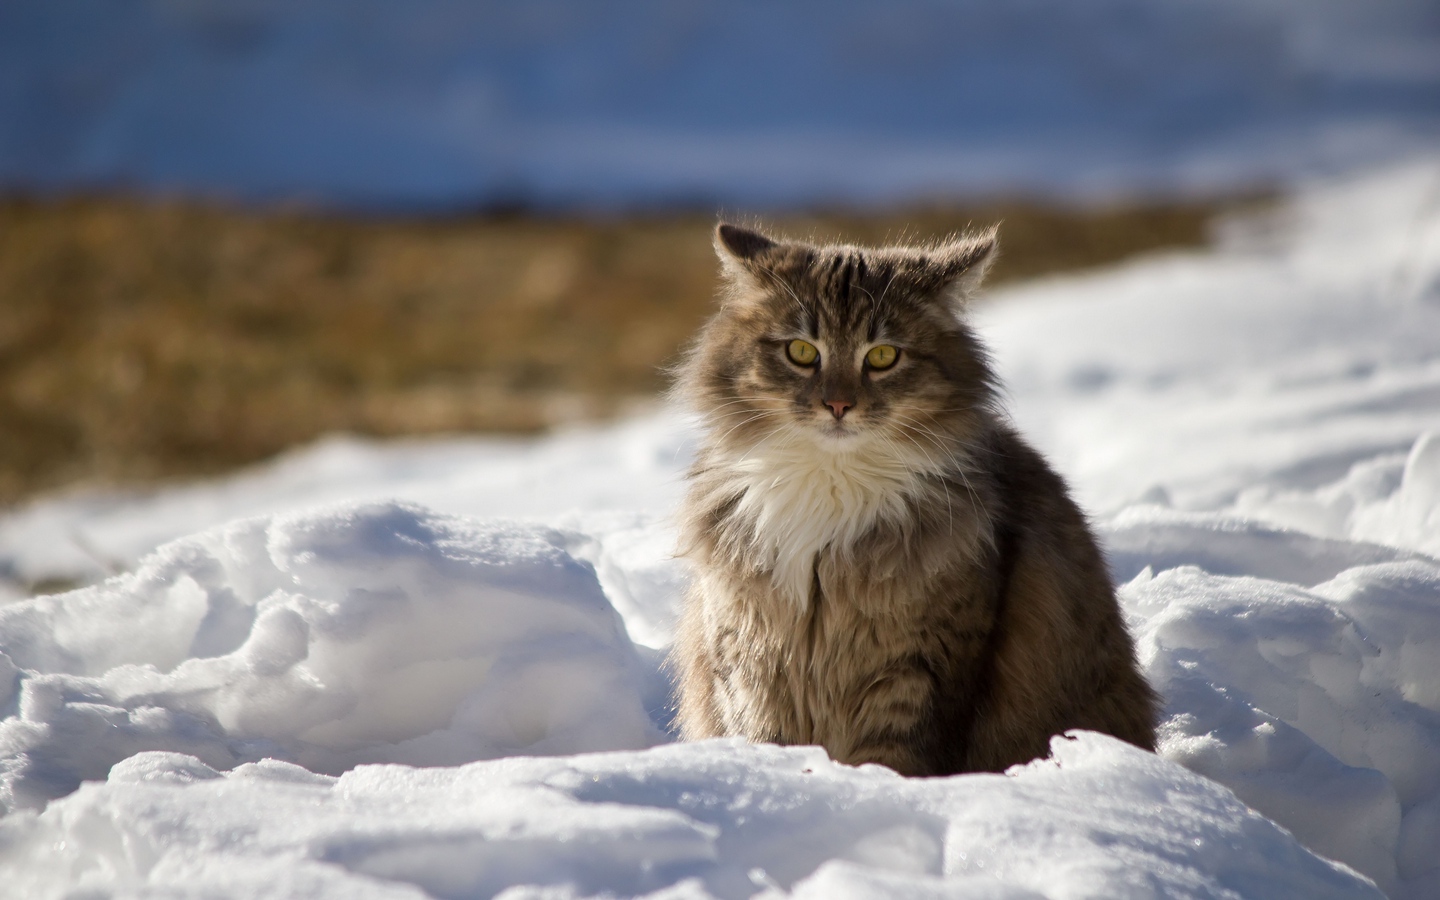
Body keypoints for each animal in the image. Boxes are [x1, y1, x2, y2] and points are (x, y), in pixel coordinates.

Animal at [671, 218, 1157, 771]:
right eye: (802, 352)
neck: (831, 484)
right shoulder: (749, 659)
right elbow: (764, 738)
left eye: (883, 356)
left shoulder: (921, 668)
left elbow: (894, 760)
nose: (838, 405)